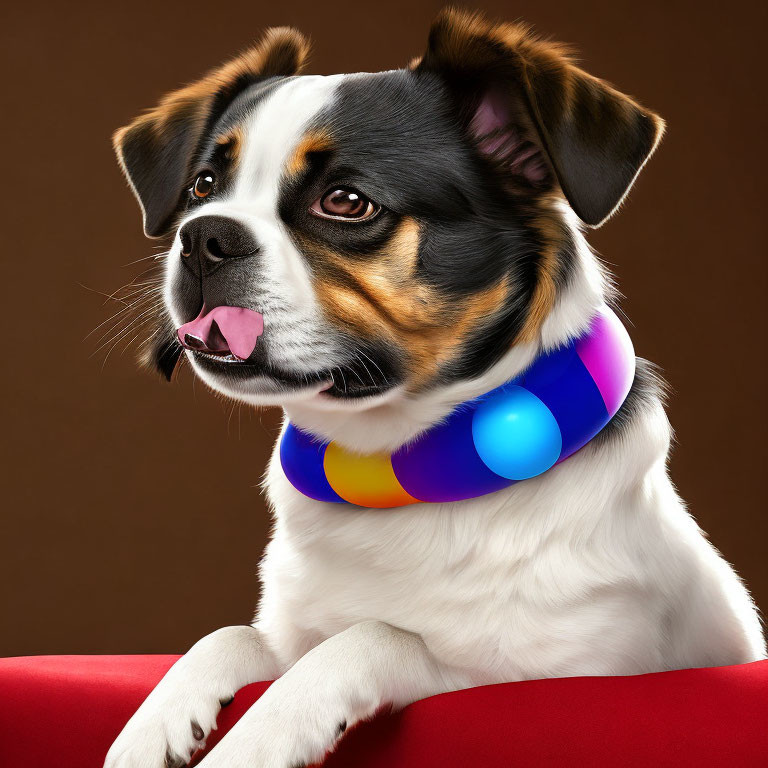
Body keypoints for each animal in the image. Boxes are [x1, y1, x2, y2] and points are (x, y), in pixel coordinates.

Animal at [102, 7, 760, 768]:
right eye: (203, 188)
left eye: (346, 202)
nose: (203, 235)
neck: (393, 461)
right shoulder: (288, 630)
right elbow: (233, 637)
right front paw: (155, 723)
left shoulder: (554, 674)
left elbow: (379, 636)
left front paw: (261, 735)